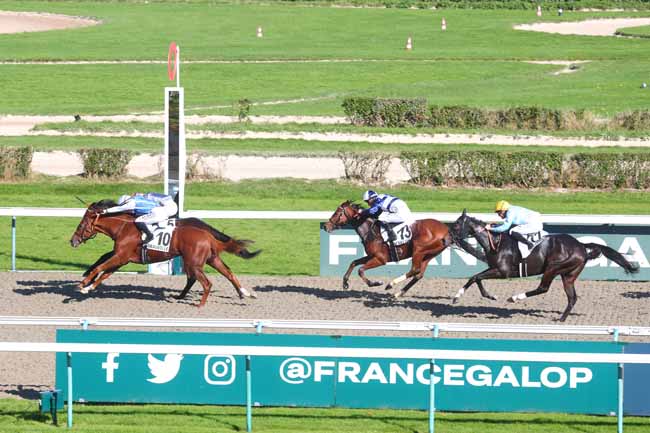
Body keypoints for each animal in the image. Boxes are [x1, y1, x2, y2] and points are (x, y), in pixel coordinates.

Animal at [70, 200, 260, 308]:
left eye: (81, 225)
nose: (72, 241)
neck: (123, 227)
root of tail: (208, 235)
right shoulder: (122, 259)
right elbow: (104, 273)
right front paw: (89, 286)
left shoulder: (121, 256)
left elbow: (100, 268)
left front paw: (83, 284)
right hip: (211, 259)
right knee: (228, 273)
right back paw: (245, 293)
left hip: (194, 263)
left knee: (205, 282)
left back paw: (200, 305)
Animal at [320, 200, 450, 296]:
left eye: (337, 213)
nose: (326, 226)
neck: (371, 231)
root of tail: (445, 229)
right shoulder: (372, 256)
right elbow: (354, 262)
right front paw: (345, 282)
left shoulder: (381, 259)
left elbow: (360, 270)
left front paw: (376, 283)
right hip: (429, 255)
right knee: (419, 274)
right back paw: (398, 293)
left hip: (419, 251)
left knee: (415, 270)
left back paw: (391, 284)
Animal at [448, 209, 636, 320]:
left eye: (456, 225)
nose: (447, 238)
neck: (495, 241)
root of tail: (581, 246)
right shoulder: (494, 268)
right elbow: (474, 277)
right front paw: (464, 296)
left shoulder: (503, 271)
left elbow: (476, 277)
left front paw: (482, 296)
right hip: (568, 275)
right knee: (572, 297)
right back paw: (561, 319)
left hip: (553, 268)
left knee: (543, 288)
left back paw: (515, 297)